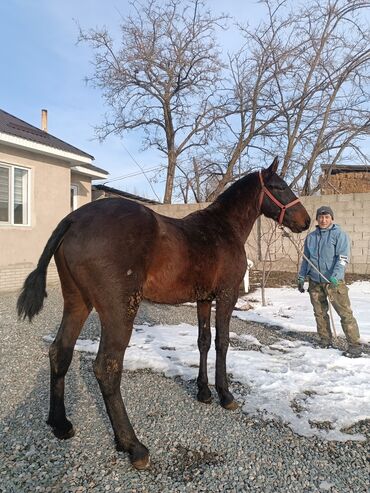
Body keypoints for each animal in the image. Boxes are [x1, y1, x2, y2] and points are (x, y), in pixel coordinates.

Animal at [17, 158, 310, 468]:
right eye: (280, 186)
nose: (306, 221)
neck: (222, 228)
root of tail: (73, 219)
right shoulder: (227, 296)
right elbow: (222, 343)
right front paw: (225, 394)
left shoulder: (203, 300)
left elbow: (203, 341)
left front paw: (203, 391)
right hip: (120, 310)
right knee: (107, 367)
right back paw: (133, 445)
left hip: (78, 302)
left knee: (60, 352)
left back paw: (60, 423)